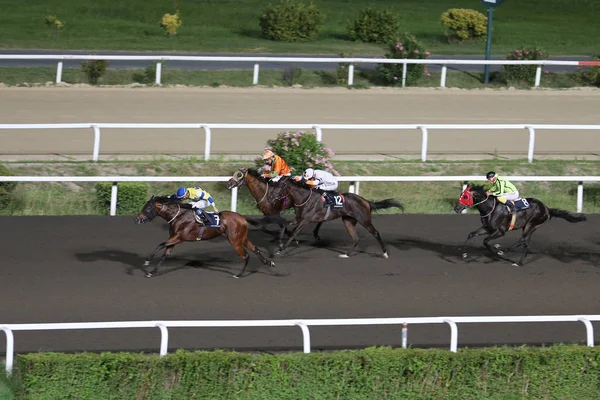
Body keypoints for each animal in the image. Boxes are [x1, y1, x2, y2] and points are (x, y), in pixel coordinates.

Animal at [135, 196, 276, 278]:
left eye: (148, 208)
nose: (138, 219)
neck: (178, 216)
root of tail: (242, 218)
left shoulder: (179, 238)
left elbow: (160, 244)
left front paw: (147, 261)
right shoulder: (174, 239)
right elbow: (165, 254)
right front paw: (151, 272)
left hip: (235, 241)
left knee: (245, 255)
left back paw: (239, 275)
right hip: (242, 238)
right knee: (255, 249)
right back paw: (268, 262)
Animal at [274, 178, 406, 260]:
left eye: (281, 186)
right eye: (275, 185)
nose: (273, 197)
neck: (305, 198)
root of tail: (365, 201)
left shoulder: (306, 220)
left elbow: (294, 233)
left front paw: (282, 249)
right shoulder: (298, 218)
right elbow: (285, 225)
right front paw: (279, 244)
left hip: (364, 220)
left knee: (375, 233)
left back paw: (385, 253)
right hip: (348, 221)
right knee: (356, 238)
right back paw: (346, 255)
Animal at [454, 184, 584, 266]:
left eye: (465, 196)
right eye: (461, 194)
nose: (456, 208)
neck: (491, 208)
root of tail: (547, 208)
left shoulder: (500, 231)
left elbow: (485, 241)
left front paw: (495, 251)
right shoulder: (488, 228)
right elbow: (471, 234)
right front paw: (464, 254)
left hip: (531, 224)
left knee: (523, 240)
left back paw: (508, 254)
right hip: (530, 226)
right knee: (525, 242)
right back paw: (518, 260)